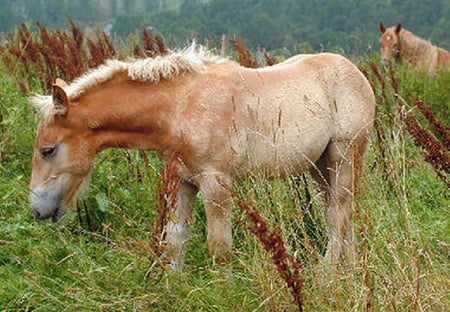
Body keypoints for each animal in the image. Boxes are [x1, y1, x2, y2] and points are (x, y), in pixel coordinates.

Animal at [29, 44, 376, 270]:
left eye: (48, 150)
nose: (37, 209)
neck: (179, 107)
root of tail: (355, 72)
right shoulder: (182, 181)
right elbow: (175, 241)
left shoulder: (215, 182)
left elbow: (219, 248)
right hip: (320, 166)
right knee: (341, 213)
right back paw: (350, 274)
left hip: (344, 155)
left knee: (338, 215)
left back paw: (327, 277)